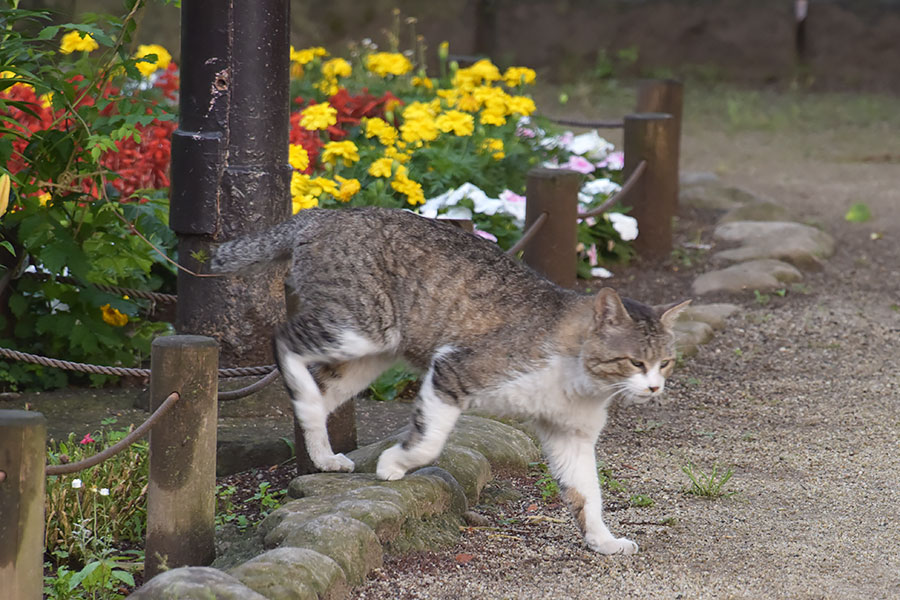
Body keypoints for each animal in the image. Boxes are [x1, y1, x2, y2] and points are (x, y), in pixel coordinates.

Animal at [211, 205, 688, 552]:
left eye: (665, 362)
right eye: (634, 362)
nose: (654, 387)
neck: (579, 380)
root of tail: (322, 213)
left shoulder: (570, 433)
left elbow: (586, 491)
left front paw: (603, 541)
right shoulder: (452, 370)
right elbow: (428, 440)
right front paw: (393, 465)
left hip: (372, 351)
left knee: (321, 392)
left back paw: (324, 451)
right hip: (358, 328)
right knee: (283, 339)